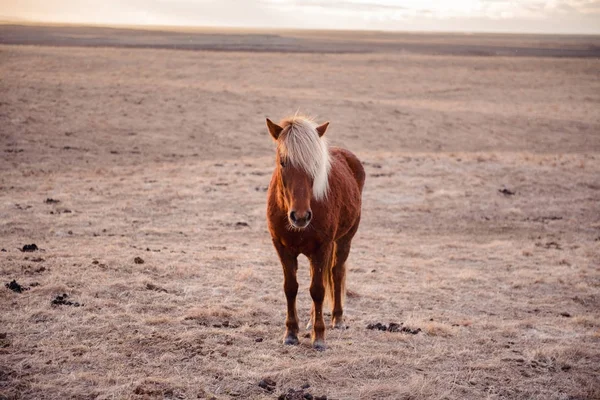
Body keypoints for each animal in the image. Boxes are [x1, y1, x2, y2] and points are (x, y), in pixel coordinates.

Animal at [266, 113, 366, 350]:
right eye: (283, 162)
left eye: (315, 164)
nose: (300, 216)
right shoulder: (281, 247)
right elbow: (290, 287)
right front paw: (291, 333)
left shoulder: (323, 247)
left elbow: (318, 290)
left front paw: (319, 337)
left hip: (344, 240)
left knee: (336, 273)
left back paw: (337, 319)